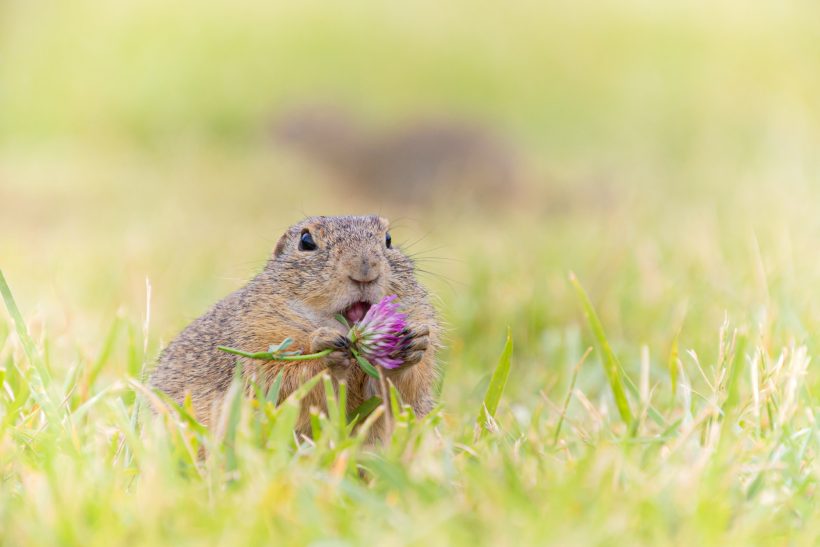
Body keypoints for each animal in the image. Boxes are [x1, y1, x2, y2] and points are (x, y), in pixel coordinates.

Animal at [150, 216, 438, 438]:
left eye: (388, 239)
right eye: (306, 242)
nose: (365, 267)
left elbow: (402, 396)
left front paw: (410, 346)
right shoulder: (255, 335)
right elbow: (278, 381)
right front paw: (326, 349)